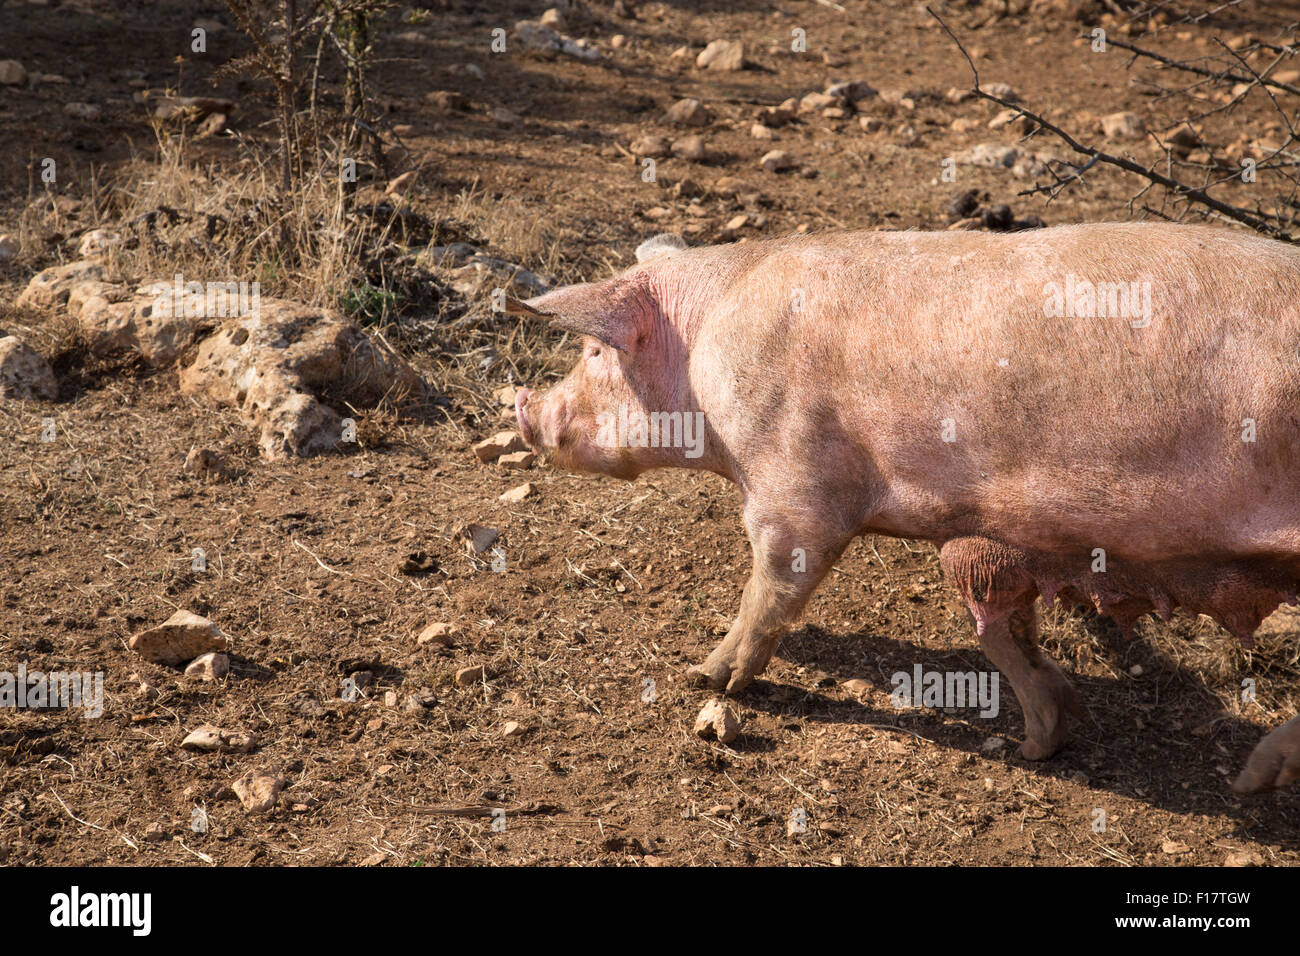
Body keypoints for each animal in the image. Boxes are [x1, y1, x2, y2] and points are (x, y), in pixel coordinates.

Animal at [504, 222, 1300, 793]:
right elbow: (1006, 633)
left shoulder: (793, 487)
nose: (525, 411)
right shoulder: (995, 539)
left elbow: (771, 591)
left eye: (596, 355)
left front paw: (705, 678)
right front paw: (1039, 744)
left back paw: (1247, 787)